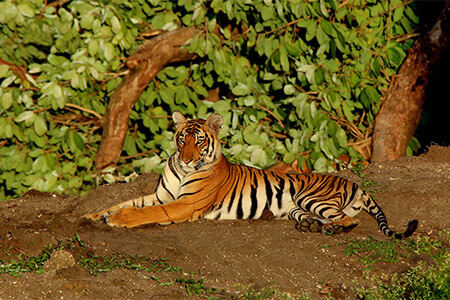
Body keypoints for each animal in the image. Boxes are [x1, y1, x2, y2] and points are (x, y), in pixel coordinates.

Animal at [87, 110, 418, 239]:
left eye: (200, 141)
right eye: (182, 139)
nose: (186, 159)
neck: (182, 171)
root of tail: (352, 182)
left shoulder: (184, 204)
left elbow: (146, 212)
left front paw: (118, 220)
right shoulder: (159, 195)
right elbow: (126, 202)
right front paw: (95, 214)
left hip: (311, 196)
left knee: (351, 221)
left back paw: (329, 230)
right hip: (298, 208)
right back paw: (311, 226)